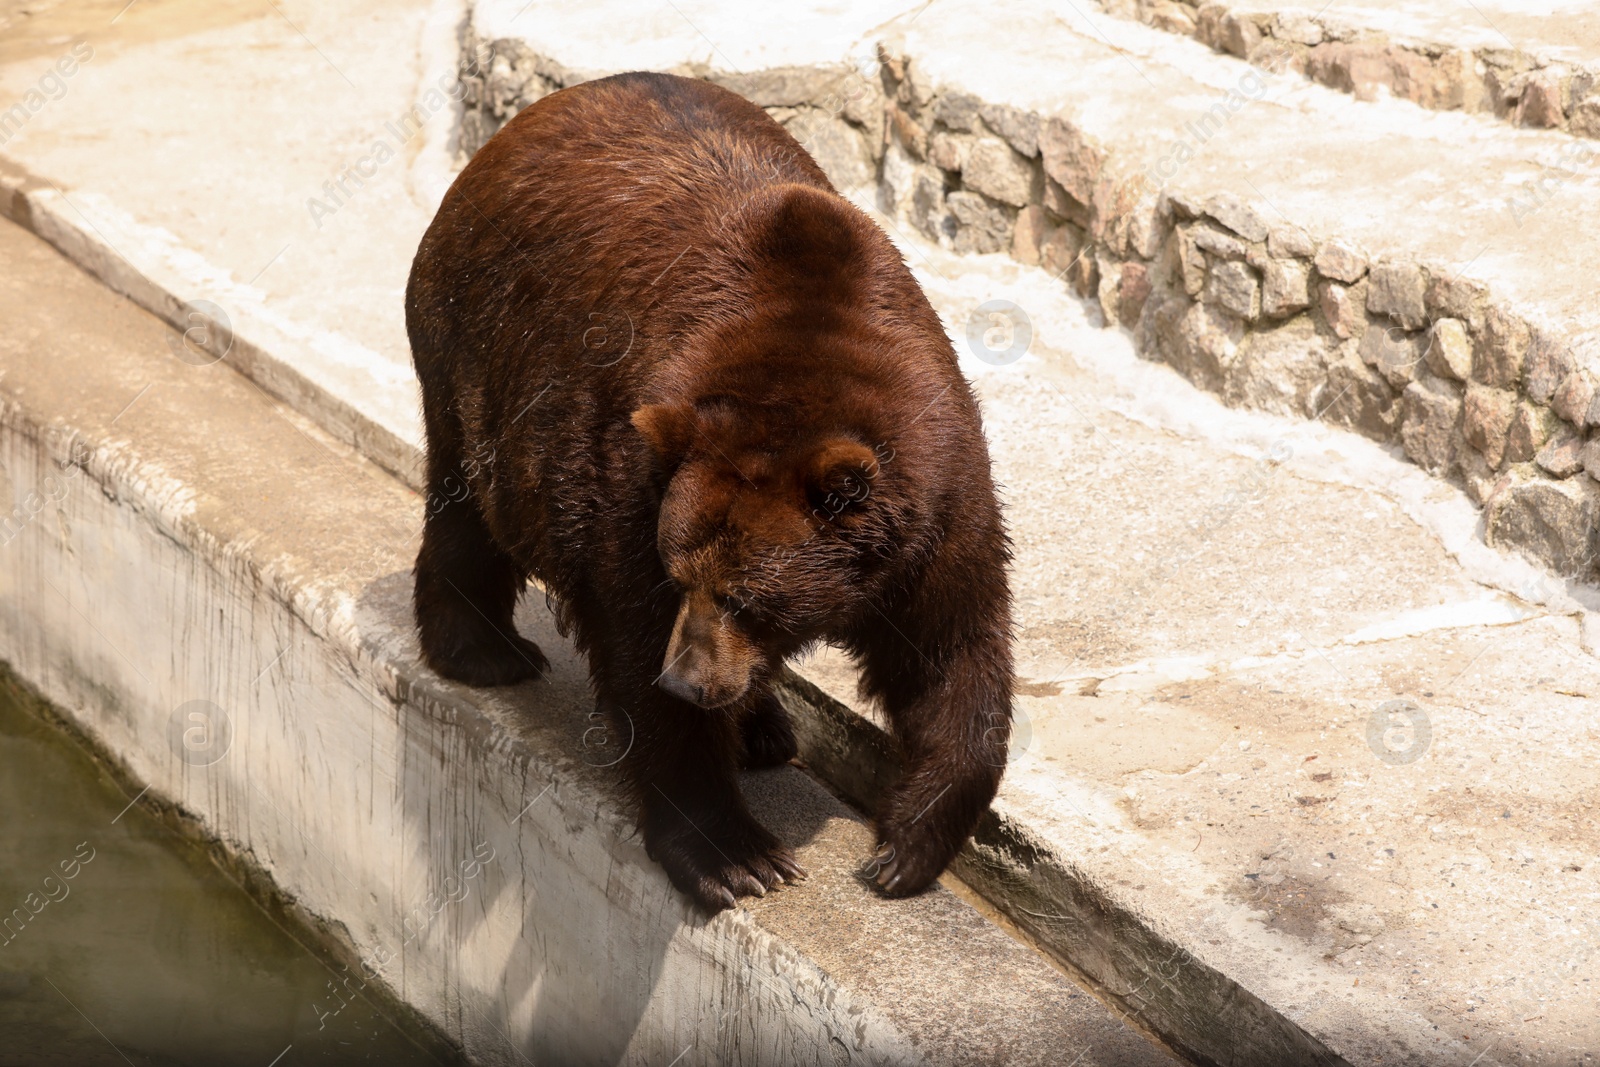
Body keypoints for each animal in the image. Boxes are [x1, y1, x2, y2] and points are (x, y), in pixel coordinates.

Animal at [409, 70, 1011, 915]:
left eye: (747, 594)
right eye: (681, 572)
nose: (690, 679)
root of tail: (528, 119)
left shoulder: (938, 505)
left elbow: (953, 652)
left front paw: (906, 847)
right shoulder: (631, 477)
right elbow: (633, 640)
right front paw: (736, 854)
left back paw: (763, 727)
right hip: (477, 355)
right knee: (467, 503)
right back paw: (485, 650)